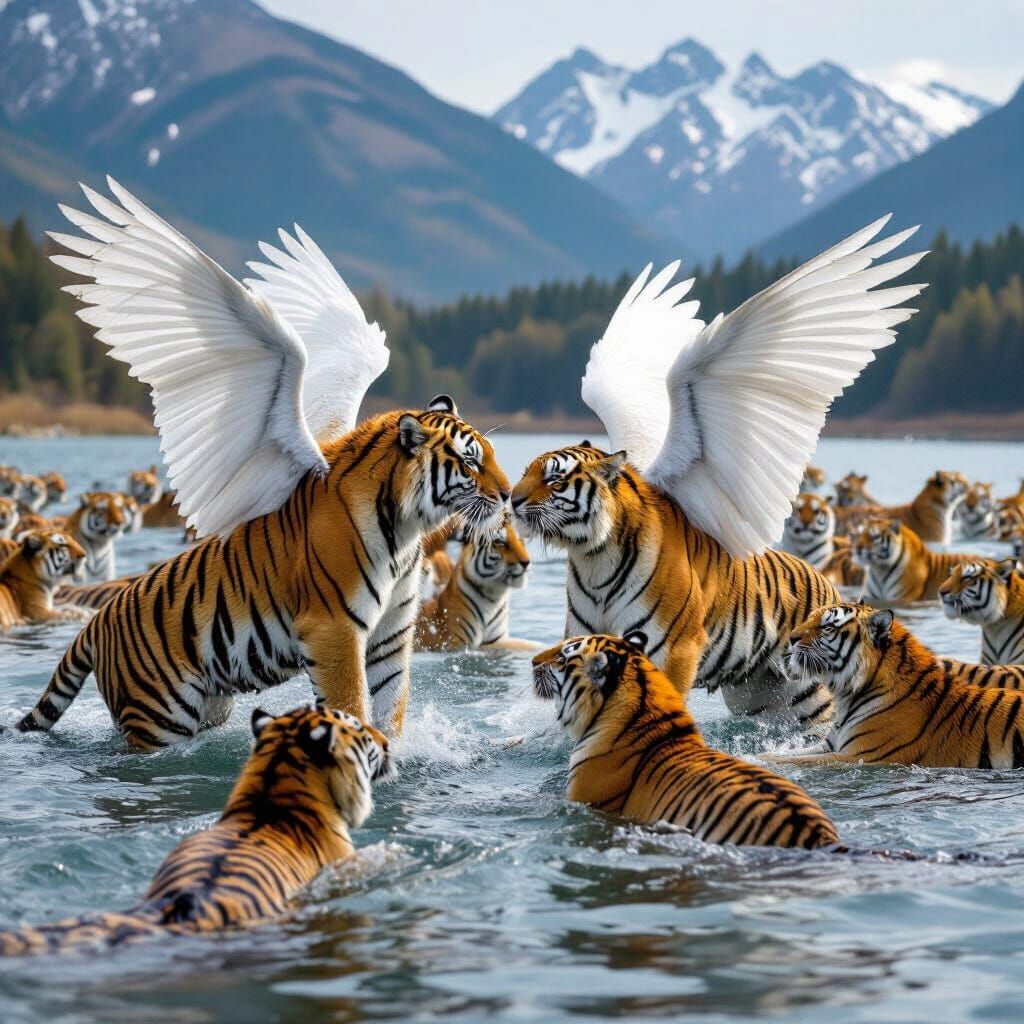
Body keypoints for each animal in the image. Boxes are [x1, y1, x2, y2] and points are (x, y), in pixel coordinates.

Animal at [14, 399, 510, 749]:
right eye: (470, 462)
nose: (507, 495)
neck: (406, 529)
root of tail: (97, 623)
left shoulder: (391, 631)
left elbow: (392, 699)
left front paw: (394, 749)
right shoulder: (334, 627)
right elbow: (352, 700)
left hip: (209, 703)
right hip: (158, 715)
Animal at [415, 517, 535, 652]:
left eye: (520, 540)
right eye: (500, 542)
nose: (526, 562)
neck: (493, 597)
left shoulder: (498, 641)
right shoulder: (456, 644)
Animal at [511, 443, 838, 730]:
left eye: (554, 479)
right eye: (525, 473)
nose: (512, 500)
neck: (594, 557)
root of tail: (824, 580)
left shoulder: (672, 647)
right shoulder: (582, 633)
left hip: (810, 694)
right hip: (756, 694)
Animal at [771, 602, 1024, 769]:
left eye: (827, 628)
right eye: (810, 617)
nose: (791, 638)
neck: (848, 695)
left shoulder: (860, 755)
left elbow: (794, 761)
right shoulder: (829, 746)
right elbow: (785, 754)